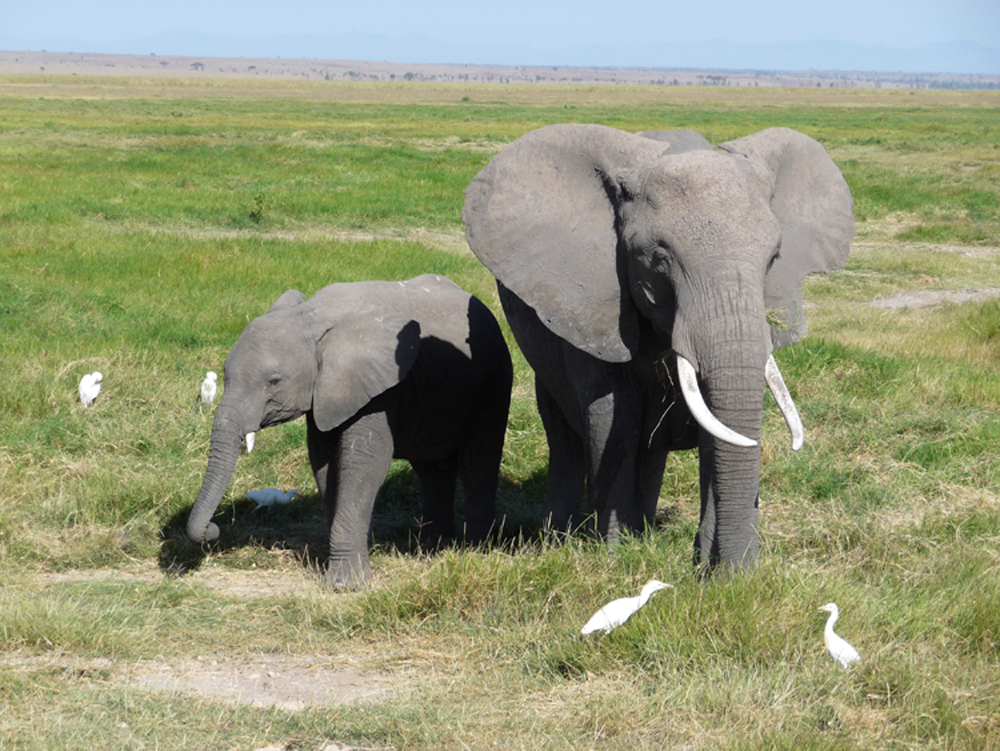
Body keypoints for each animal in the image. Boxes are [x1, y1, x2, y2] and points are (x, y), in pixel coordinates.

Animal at [186, 274, 513, 588]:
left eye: (273, 382)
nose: (213, 529)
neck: (310, 316)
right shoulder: (325, 390)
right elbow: (324, 462)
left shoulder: (380, 386)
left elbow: (363, 463)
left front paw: (346, 585)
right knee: (433, 470)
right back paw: (432, 549)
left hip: (495, 378)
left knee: (478, 462)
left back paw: (475, 551)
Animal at [462, 124, 854, 572]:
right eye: (658, 257)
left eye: (774, 258)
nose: (742, 575)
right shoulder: (593, 307)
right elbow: (613, 418)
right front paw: (616, 558)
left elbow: (713, 426)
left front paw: (705, 567)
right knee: (564, 435)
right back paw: (560, 540)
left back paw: (643, 530)